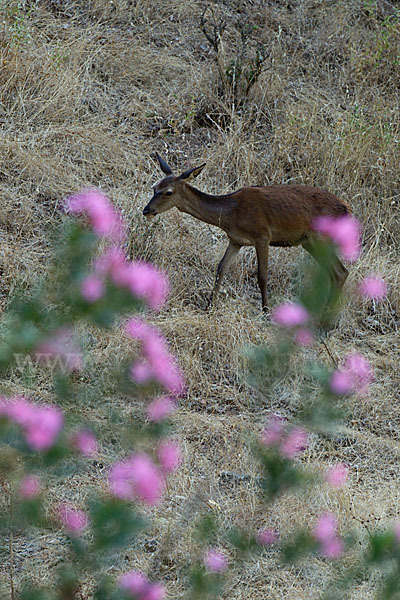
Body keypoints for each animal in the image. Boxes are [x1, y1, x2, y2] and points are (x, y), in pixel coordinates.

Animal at [144, 154, 350, 314]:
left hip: (320, 237)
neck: (232, 215)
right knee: (336, 273)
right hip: (308, 241)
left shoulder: (262, 236)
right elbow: (221, 269)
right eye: (154, 187)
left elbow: (262, 276)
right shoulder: (236, 240)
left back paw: (325, 320)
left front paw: (266, 312)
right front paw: (209, 307)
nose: (147, 210)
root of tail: (346, 209)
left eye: (168, 192)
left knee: (340, 272)